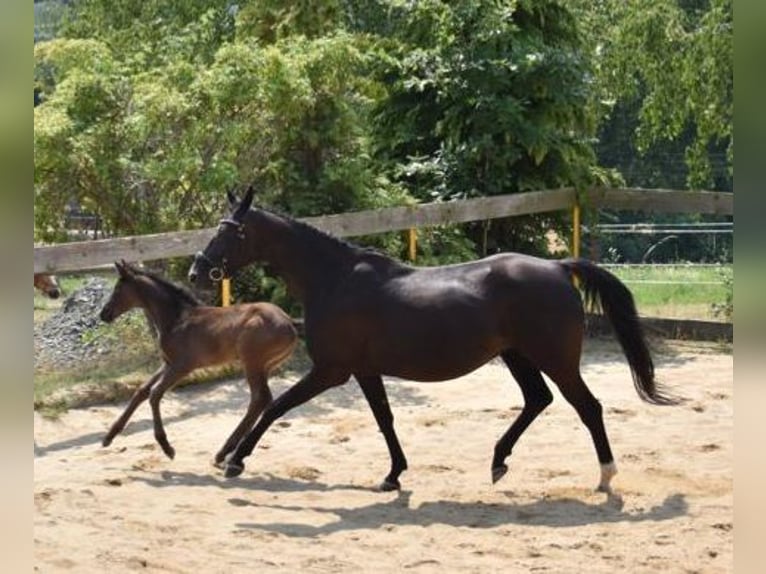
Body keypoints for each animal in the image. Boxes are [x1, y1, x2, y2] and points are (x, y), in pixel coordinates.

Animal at [99, 260, 298, 465]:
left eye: (118, 289)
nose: (103, 314)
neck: (177, 318)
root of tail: (290, 323)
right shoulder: (168, 363)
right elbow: (141, 391)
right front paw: (108, 437)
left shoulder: (182, 366)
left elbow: (154, 394)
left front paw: (167, 447)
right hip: (264, 366)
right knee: (262, 400)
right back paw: (230, 451)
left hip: (252, 363)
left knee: (260, 399)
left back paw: (224, 451)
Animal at [189, 186, 678, 492]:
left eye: (231, 230)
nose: (197, 270)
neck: (334, 280)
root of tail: (558, 268)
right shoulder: (364, 371)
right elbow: (385, 419)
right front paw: (393, 475)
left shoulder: (331, 370)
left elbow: (276, 407)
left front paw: (235, 460)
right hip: (517, 356)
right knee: (538, 400)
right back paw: (498, 461)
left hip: (554, 358)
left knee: (587, 406)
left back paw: (605, 475)